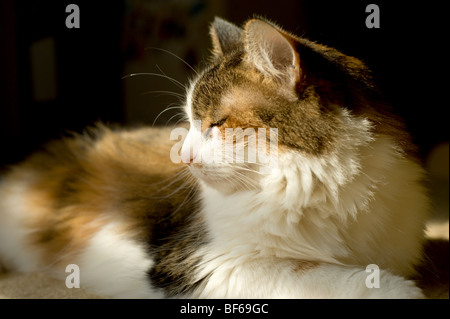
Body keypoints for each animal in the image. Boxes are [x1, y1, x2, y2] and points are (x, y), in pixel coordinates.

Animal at [0, 16, 428, 298]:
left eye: (217, 124)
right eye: (189, 122)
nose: (184, 158)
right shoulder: (205, 263)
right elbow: (329, 274)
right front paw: (399, 291)